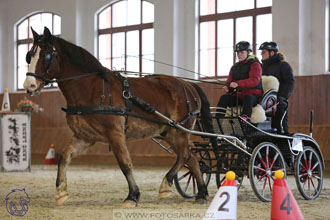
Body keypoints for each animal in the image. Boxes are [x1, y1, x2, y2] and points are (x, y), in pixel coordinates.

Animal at [23, 27, 214, 206]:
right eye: (29, 56)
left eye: (46, 56)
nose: (29, 85)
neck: (92, 88)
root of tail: (188, 84)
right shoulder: (85, 137)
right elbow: (63, 157)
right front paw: (61, 192)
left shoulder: (115, 134)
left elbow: (125, 164)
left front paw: (133, 196)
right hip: (169, 132)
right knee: (191, 158)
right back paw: (201, 194)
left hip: (179, 130)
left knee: (184, 155)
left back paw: (166, 185)